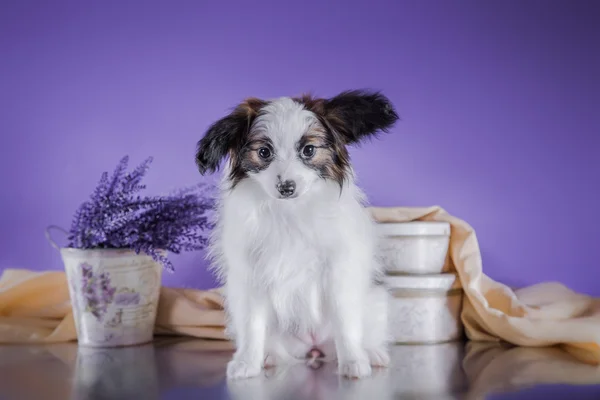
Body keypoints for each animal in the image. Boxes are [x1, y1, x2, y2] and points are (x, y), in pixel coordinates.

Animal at [196, 89, 398, 380]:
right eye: (264, 152)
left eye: (308, 150)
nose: (286, 187)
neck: (289, 210)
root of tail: (313, 346)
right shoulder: (251, 278)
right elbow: (252, 325)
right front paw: (246, 362)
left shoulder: (338, 270)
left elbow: (345, 319)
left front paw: (353, 361)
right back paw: (268, 357)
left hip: (375, 302)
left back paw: (370, 353)